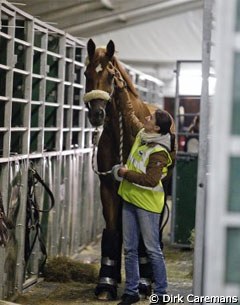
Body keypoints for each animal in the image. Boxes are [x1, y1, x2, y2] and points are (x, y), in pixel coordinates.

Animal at [83, 39, 174, 300]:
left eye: (111, 76)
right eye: (86, 74)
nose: (97, 114)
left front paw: (143, 283)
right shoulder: (108, 187)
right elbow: (113, 231)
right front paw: (106, 284)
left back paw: (148, 278)